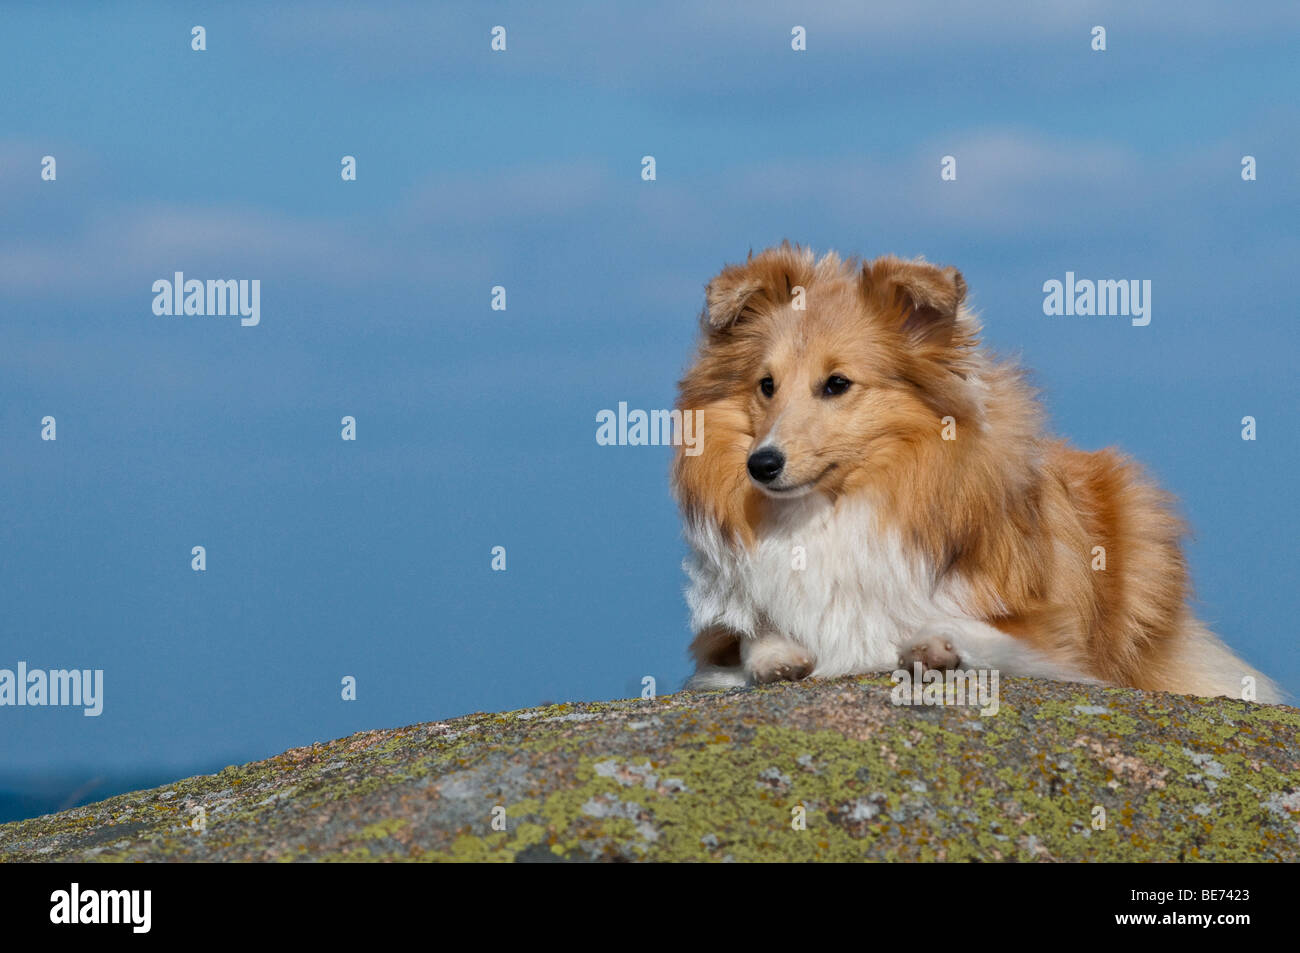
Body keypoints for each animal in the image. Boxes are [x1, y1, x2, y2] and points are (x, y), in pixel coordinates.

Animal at [670, 241, 1279, 702]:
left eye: (837, 383)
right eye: (766, 385)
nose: (761, 464)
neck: (842, 505)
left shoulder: (1050, 632)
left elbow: (978, 633)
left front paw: (935, 647)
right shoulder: (717, 639)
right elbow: (749, 637)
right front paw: (778, 653)